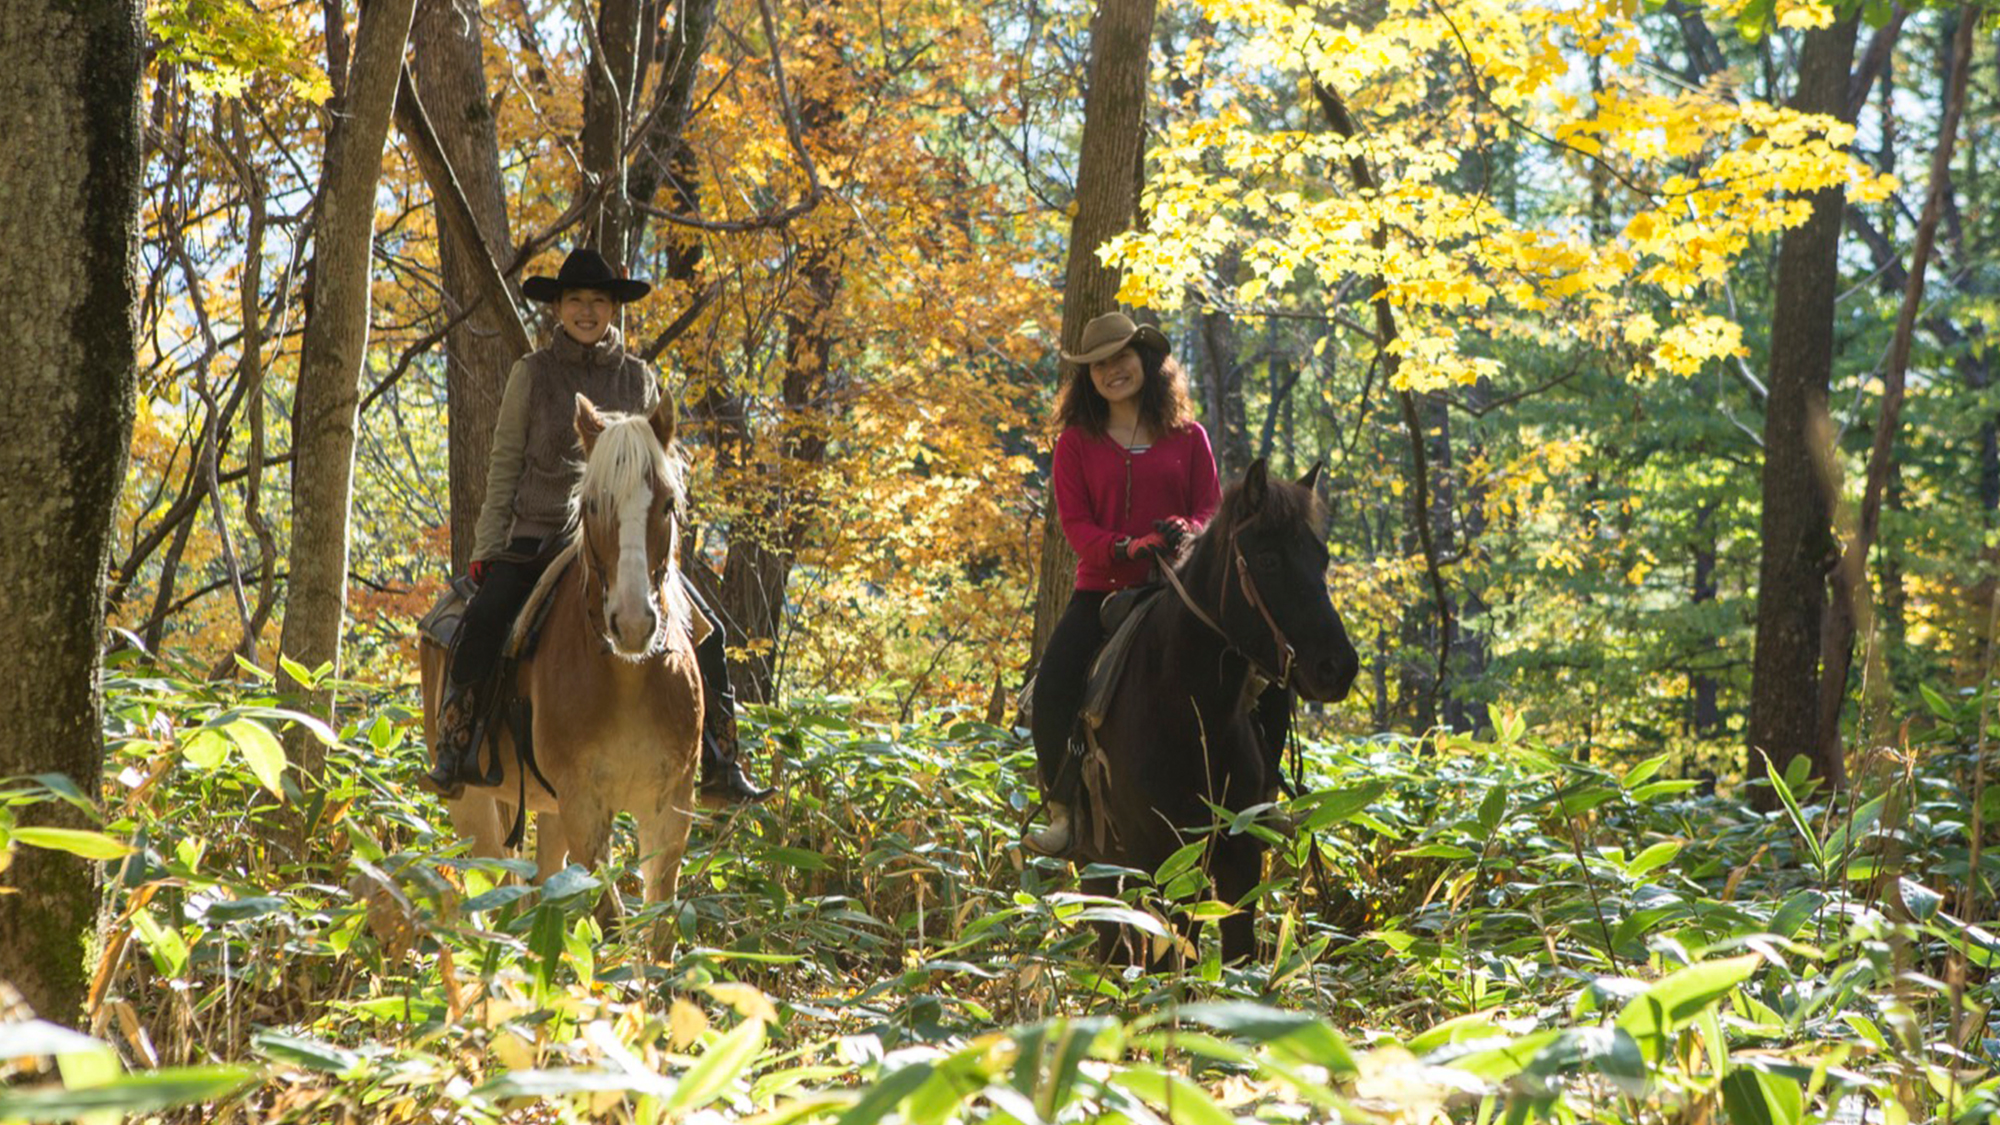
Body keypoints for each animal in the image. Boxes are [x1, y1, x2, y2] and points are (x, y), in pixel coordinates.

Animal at [418, 394, 708, 936]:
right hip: (473, 805)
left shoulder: (670, 809)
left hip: (547, 810)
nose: (632, 623)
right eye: (593, 504)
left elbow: (660, 926)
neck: (627, 678)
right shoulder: (584, 805)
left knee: (536, 888)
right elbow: (611, 919)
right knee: (488, 892)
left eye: (667, 504)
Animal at [1080, 460, 1360, 960]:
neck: (1188, 713)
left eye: (1323, 558)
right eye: (1268, 560)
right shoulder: (1160, 857)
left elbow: (1237, 954)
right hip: (1099, 861)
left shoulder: (1239, 854)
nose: (1339, 667)